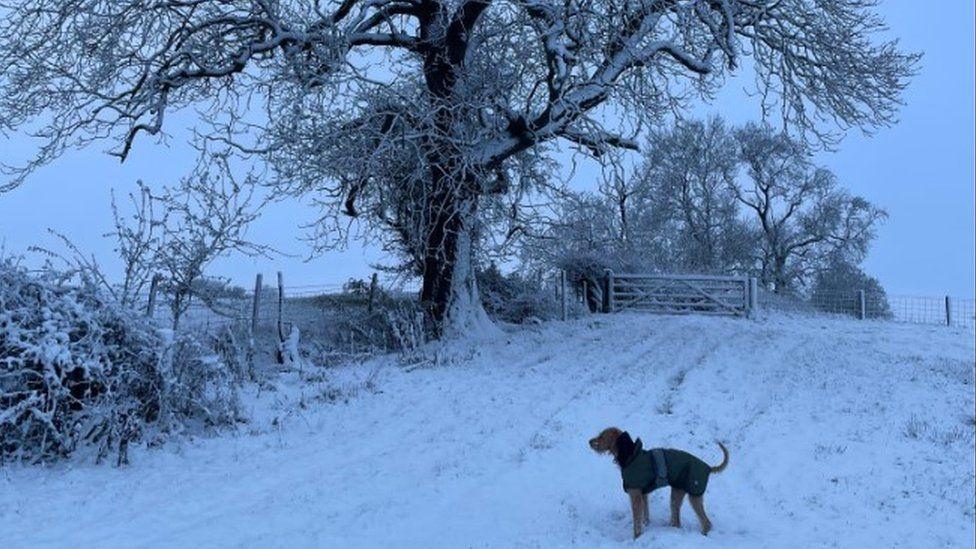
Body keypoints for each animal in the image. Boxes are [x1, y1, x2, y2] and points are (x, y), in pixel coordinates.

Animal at [588, 426, 724, 536]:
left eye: (602, 436)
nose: (589, 441)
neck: (631, 455)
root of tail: (708, 467)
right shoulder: (643, 494)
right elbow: (645, 515)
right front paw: (646, 525)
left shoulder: (635, 496)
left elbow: (637, 523)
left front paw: (636, 538)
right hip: (676, 494)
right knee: (677, 520)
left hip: (694, 496)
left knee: (706, 522)